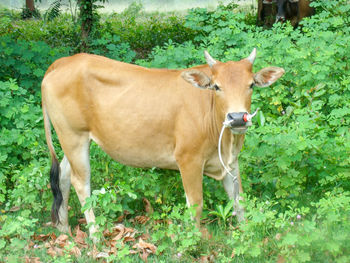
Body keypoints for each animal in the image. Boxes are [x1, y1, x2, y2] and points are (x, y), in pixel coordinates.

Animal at [41, 48, 284, 240]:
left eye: (251, 85)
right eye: (216, 86)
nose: (237, 118)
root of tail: (62, 62)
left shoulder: (230, 161)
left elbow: (239, 200)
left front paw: (246, 233)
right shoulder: (188, 159)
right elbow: (195, 204)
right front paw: (194, 241)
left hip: (70, 140)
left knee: (63, 176)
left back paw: (63, 228)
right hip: (74, 137)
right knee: (81, 183)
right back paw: (95, 235)